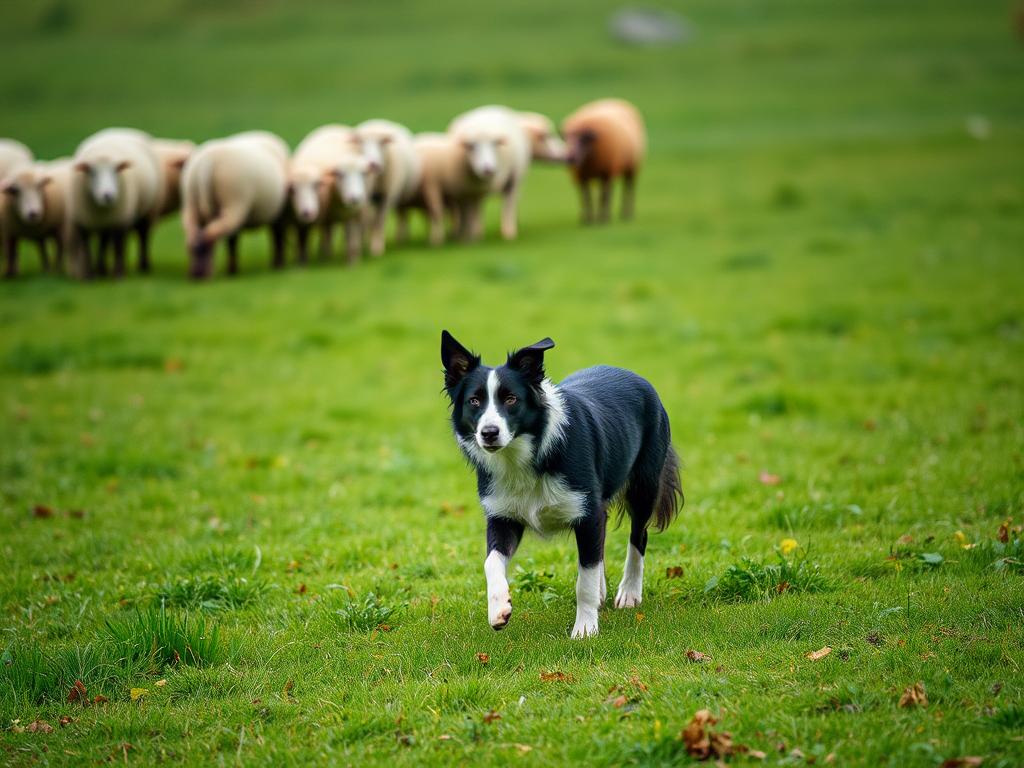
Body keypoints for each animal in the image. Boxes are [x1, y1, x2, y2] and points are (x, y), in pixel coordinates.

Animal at [69, 128, 163, 280]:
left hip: (147, 212)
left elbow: (119, 248)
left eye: (116, 170)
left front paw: (118, 275)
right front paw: (89, 275)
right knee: (104, 241)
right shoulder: (82, 222)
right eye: (91, 171)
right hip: (106, 222)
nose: (108, 196)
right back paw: (101, 269)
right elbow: (86, 248)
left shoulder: (120, 221)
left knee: (143, 236)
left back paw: (143, 265)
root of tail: (120, 129)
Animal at [180, 132, 290, 280]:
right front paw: (278, 264)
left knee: (194, 235)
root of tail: (206, 163)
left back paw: (200, 271)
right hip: (234, 201)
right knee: (211, 235)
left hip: (191, 202)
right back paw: (207, 272)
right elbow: (277, 236)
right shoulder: (279, 214)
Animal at [350, 120, 417, 257]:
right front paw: (365, 244)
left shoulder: (387, 197)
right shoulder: (366, 197)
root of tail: (377, 121)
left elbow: (379, 222)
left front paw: (377, 248)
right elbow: (367, 220)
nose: (373, 164)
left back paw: (401, 238)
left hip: (399, 196)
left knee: (401, 215)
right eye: (361, 142)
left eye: (381, 143)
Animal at [438, 331, 679, 638]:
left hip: (644, 484)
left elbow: (584, 578)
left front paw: (585, 628)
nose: (489, 433)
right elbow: (491, 561)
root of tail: (634, 375)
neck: (523, 457)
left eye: (511, 399)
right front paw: (498, 609)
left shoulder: (587, 513)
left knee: (638, 536)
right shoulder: (503, 515)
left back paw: (629, 593)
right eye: (474, 401)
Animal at [448, 105, 532, 240]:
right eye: (471, 146)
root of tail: (491, 107)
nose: (487, 169)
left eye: (495, 143)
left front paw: (508, 233)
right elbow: (476, 210)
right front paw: (477, 233)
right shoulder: (473, 189)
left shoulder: (513, 182)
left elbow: (508, 206)